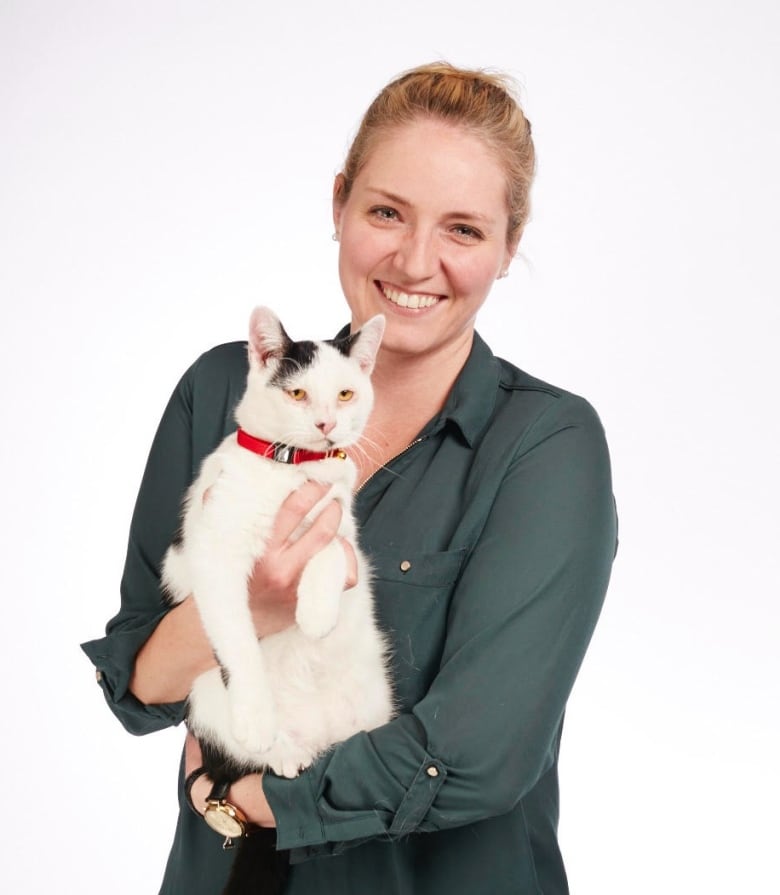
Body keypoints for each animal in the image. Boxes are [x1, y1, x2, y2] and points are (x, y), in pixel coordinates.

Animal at [165, 310, 396, 895]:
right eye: (297, 393)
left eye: (344, 393)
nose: (325, 425)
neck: (293, 471)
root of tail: (318, 738)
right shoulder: (213, 553)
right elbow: (237, 639)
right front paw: (256, 713)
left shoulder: (339, 525)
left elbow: (331, 554)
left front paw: (315, 614)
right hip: (205, 695)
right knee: (248, 754)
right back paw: (281, 748)